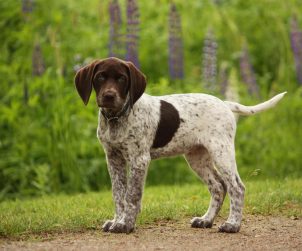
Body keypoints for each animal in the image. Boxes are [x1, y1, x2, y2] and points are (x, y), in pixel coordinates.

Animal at [74, 56, 286, 233]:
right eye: (100, 77)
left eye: (121, 79)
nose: (109, 96)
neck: (117, 118)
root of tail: (224, 103)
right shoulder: (113, 159)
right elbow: (118, 194)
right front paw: (117, 221)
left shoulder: (139, 160)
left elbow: (132, 196)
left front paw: (125, 224)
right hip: (197, 157)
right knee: (218, 186)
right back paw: (206, 220)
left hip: (221, 152)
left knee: (236, 187)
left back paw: (232, 225)